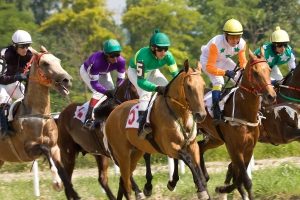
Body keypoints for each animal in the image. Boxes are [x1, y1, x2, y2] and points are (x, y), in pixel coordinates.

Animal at [0, 46, 79, 198]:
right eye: (45, 63)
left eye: (58, 61)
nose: (67, 80)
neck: (39, 116)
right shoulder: (28, 149)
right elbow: (45, 150)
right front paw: (56, 183)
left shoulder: (55, 147)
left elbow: (63, 171)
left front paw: (73, 192)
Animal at [103, 60, 209, 199]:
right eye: (189, 86)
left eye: (203, 86)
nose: (201, 115)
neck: (179, 114)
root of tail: (113, 113)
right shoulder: (170, 147)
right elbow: (189, 160)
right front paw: (200, 189)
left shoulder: (192, 145)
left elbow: (196, 165)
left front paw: (201, 184)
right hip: (122, 155)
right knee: (126, 184)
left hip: (136, 152)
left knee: (123, 179)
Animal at [198, 48, 278, 200]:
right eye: (255, 73)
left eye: (269, 70)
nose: (271, 96)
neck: (244, 113)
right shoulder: (235, 148)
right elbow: (245, 179)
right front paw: (224, 188)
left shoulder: (249, 147)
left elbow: (239, 177)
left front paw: (223, 188)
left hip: (215, 139)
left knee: (200, 147)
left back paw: (204, 176)